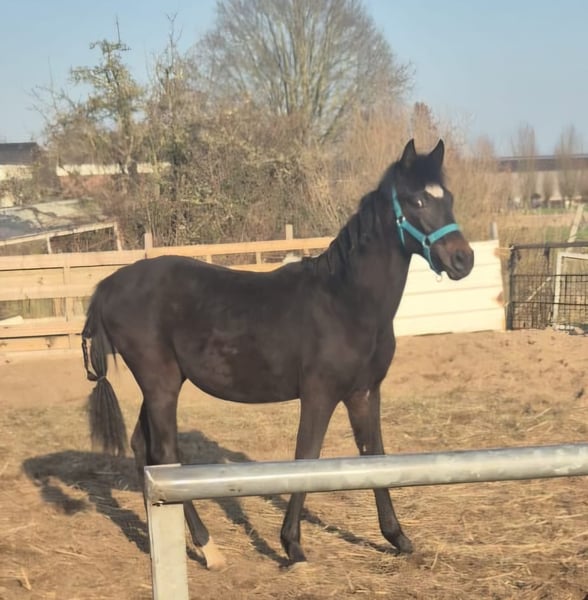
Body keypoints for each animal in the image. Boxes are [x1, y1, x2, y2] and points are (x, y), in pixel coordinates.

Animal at [81, 138, 474, 569]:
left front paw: (397, 537)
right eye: (417, 200)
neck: (347, 300)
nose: (463, 259)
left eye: (449, 198)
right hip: (160, 383)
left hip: (161, 384)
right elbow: (306, 458)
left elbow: (376, 456)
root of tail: (106, 286)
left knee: (142, 447)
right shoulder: (320, 394)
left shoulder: (364, 393)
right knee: (164, 452)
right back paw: (209, 548)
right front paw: (292, 545)